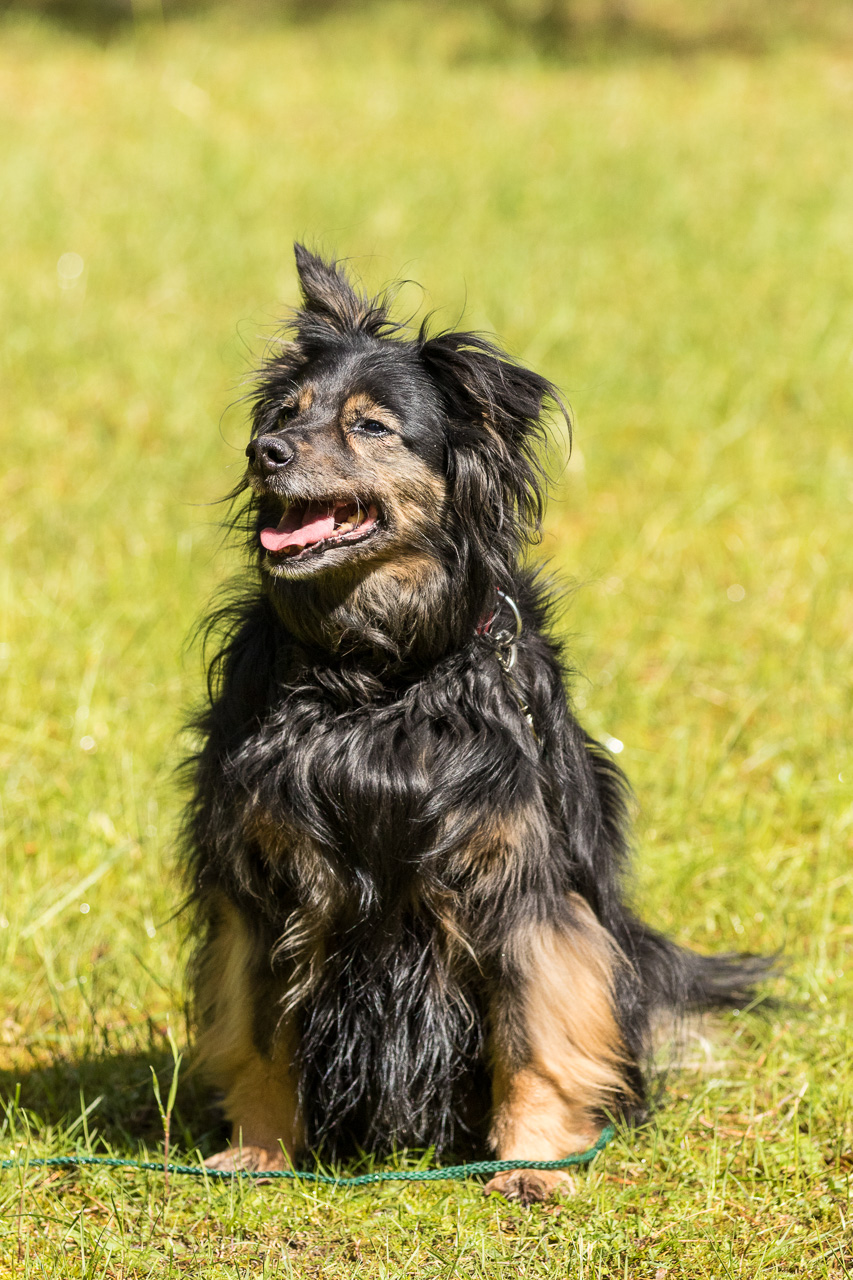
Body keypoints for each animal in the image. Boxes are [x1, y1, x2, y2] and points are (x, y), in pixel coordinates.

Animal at [184, 244, 768, 1203]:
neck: (379, 677)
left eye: (370, 427)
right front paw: (261, 1153)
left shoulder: (523, 879)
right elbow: (263, 1032)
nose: (261, 451)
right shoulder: (266, 876)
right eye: (286, 413)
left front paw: (531, 1161)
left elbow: (537, 1034)